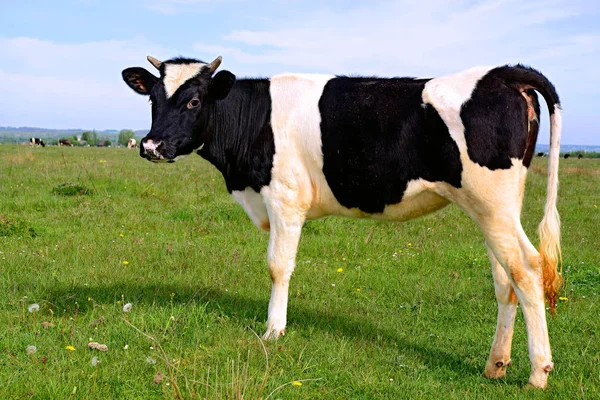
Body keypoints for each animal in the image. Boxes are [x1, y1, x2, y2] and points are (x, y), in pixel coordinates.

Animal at [122, 55, 564, 388]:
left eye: (194, 101)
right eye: (153, 99)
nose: (151, 145)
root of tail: (504, 73)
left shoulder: (285, 198)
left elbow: (278, 266)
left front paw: (273, 330)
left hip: (492, 204)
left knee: (527, 267)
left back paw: (538, 373)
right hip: (494, 208)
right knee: (506, 279)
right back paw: (495, 365)